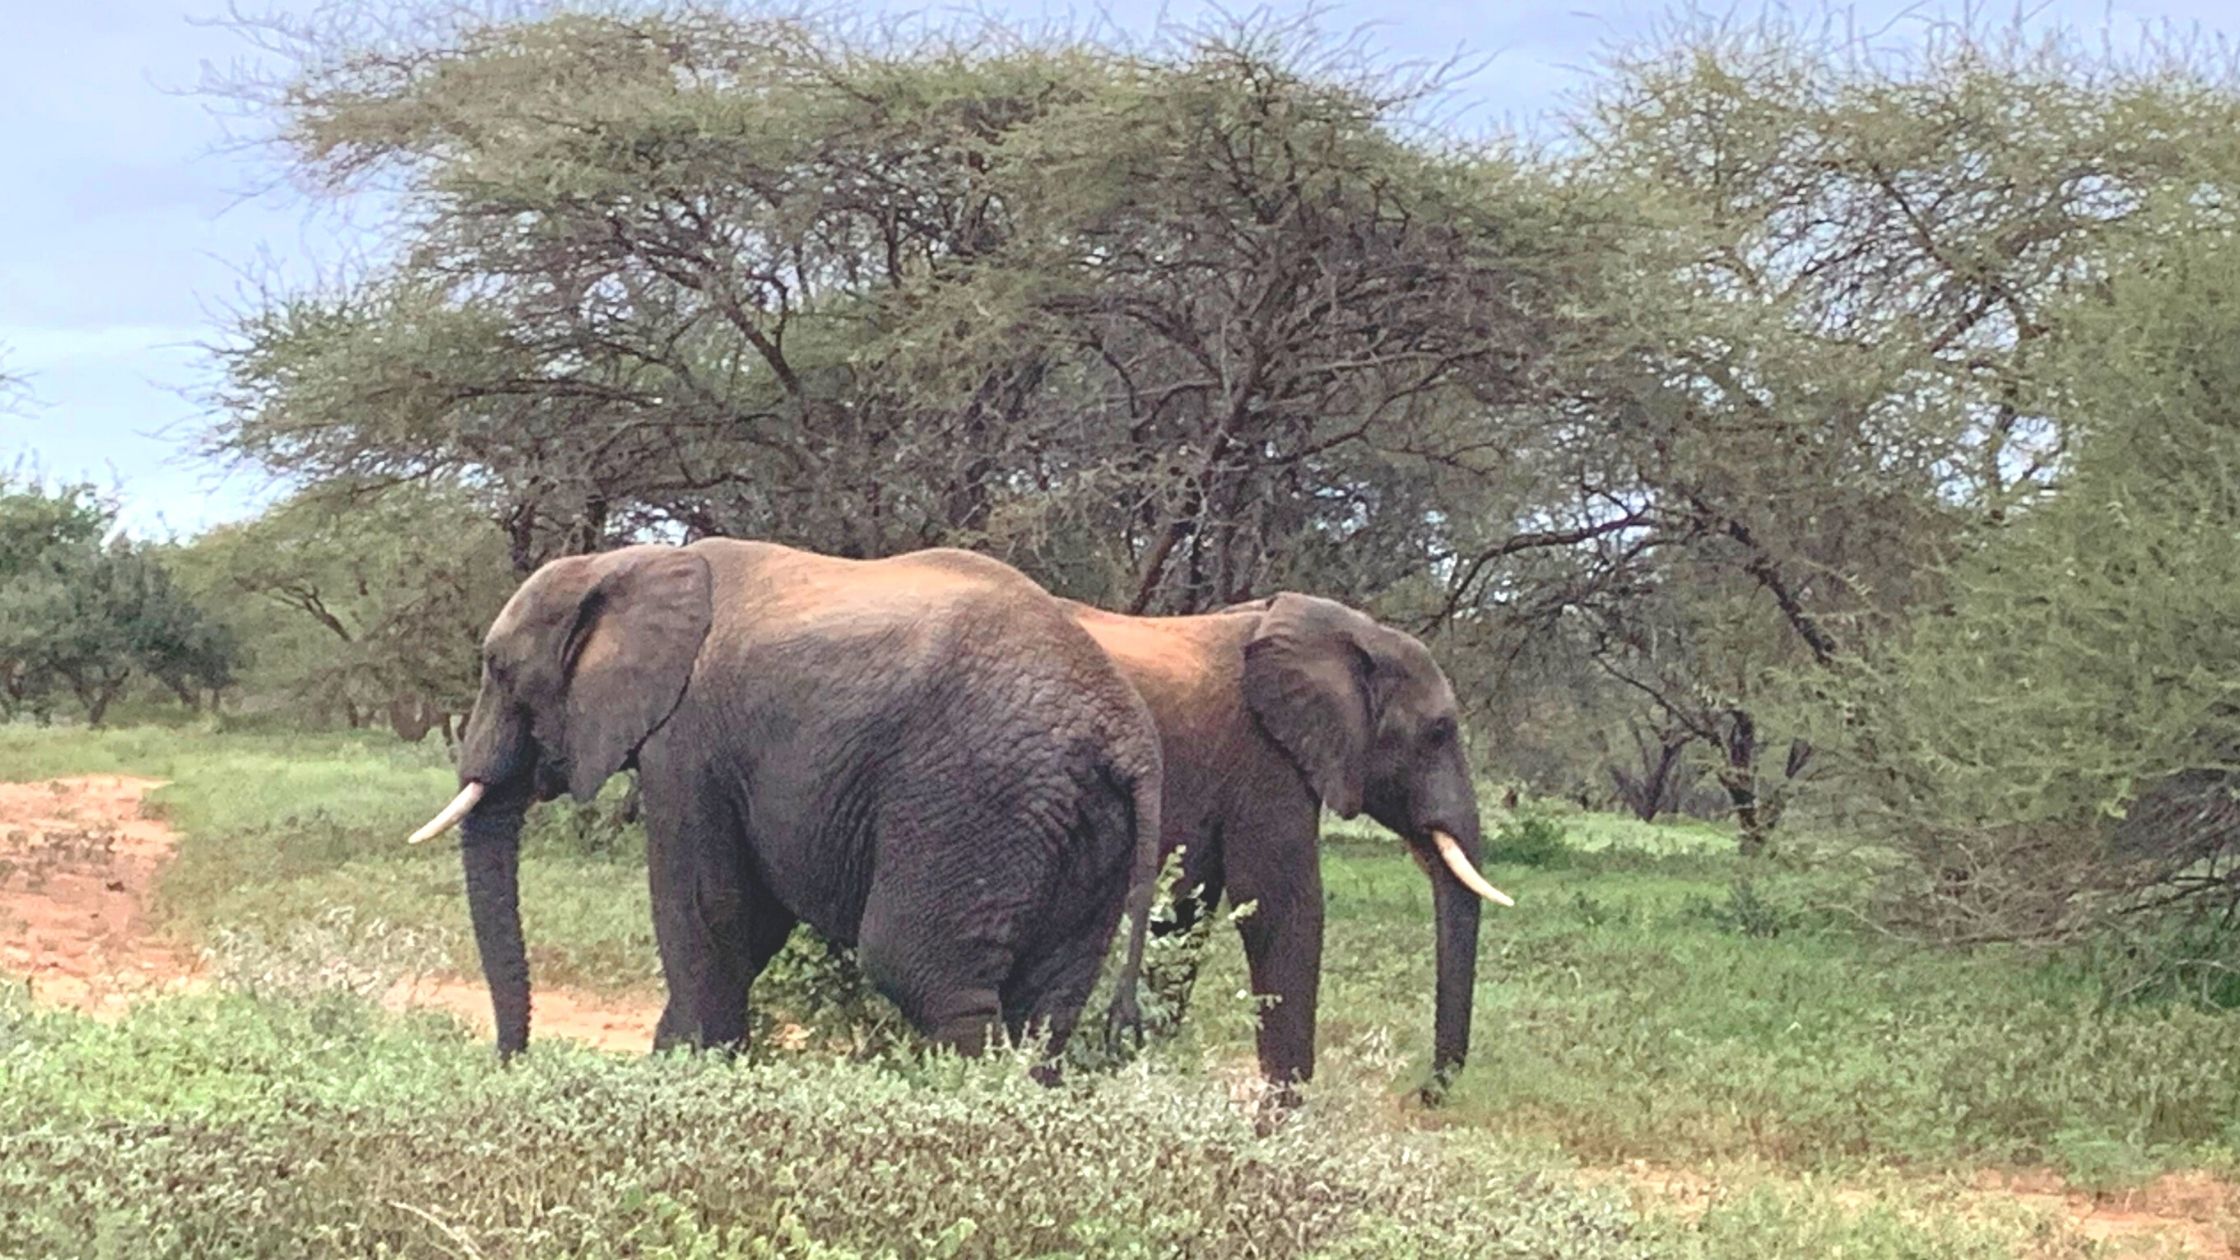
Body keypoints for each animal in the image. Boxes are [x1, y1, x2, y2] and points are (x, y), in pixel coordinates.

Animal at [405, 533, 1164, 1062]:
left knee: (921, 970)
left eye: (499, 669)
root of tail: (1124, 733)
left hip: (978, 793)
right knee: (1050, 1000)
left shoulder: (689, 742)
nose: (511, 1060)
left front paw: (690, 1071)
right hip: (1083, 822)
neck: (627, 562)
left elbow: (710, 910)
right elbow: (748, 920)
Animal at [1061, 587, 1514, 1089]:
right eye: (1438, 731)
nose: (1426, 1092)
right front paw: (1281, 1107)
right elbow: (1283, 905)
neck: (1355, 632)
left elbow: (1186, 913)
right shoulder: (1264, 752)